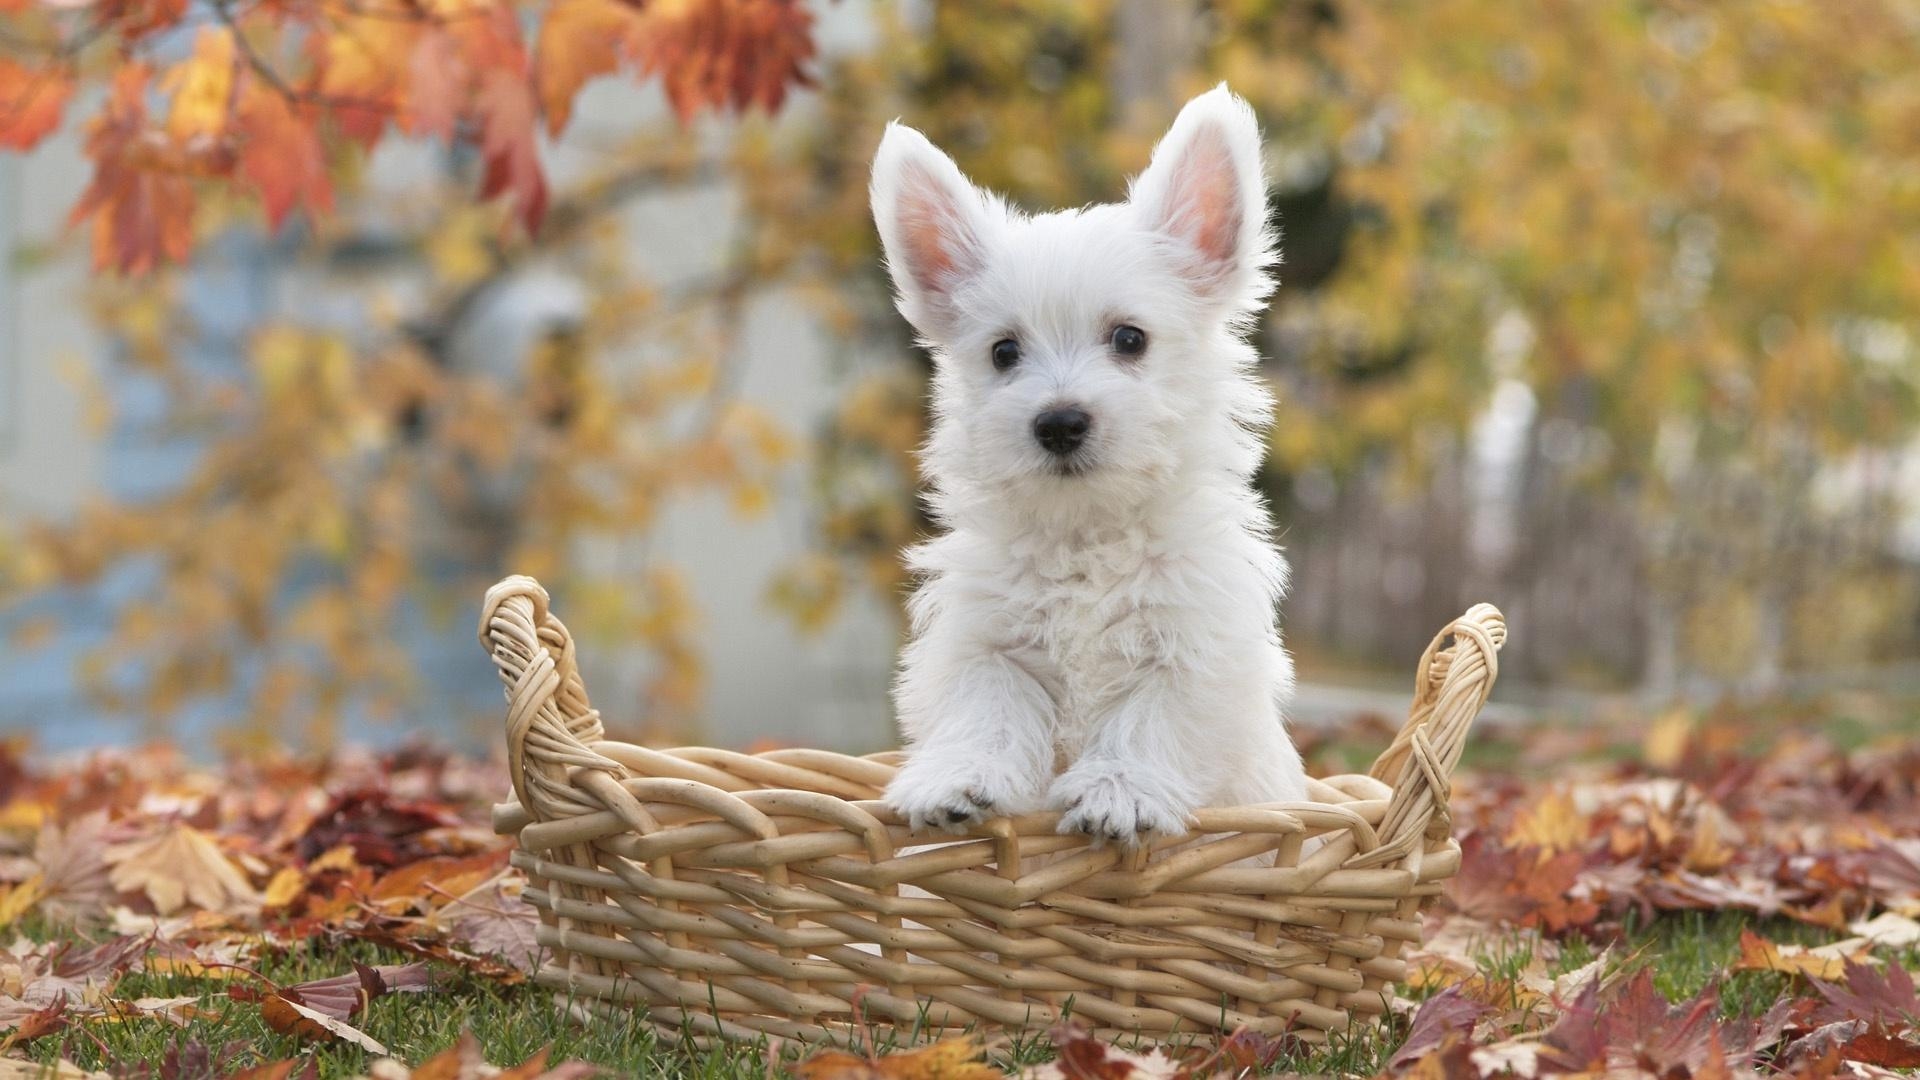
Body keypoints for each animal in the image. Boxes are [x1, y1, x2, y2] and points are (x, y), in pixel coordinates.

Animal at [867, 85, 1305, 841]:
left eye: (1130, 338)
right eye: (1003, 352)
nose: (1059, 422)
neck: (1086, 533)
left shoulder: (1194, 647)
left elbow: (1149, 720)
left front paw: (1118, 792)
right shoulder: (986, 641)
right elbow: (988, 709)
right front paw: (956, 780)